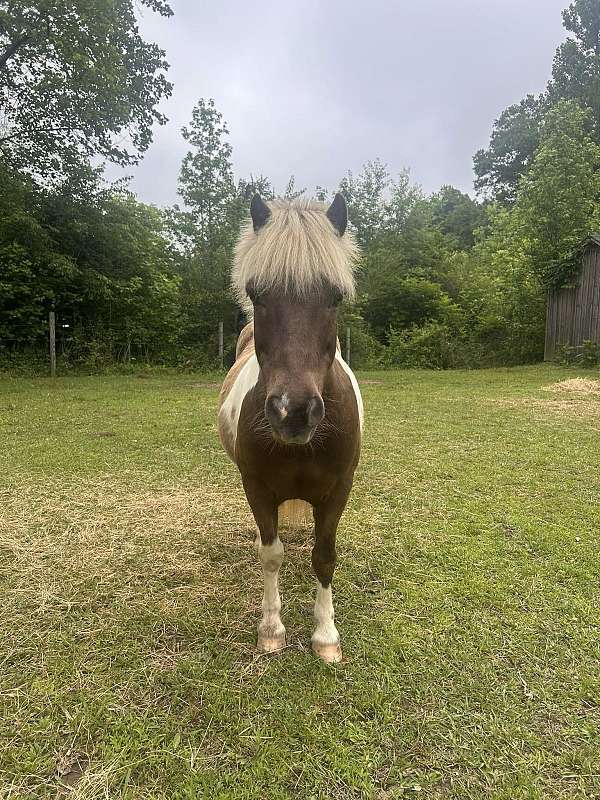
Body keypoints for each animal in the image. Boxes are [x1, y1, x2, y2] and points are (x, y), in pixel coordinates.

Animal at [218, 194, 363, 663]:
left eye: (335, 297)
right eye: (257, 295)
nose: (292, 411)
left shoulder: (338, 490)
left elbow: (324, 556)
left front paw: (326, 636)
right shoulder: (257, 487)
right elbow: (271, 555)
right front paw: (271, 629)